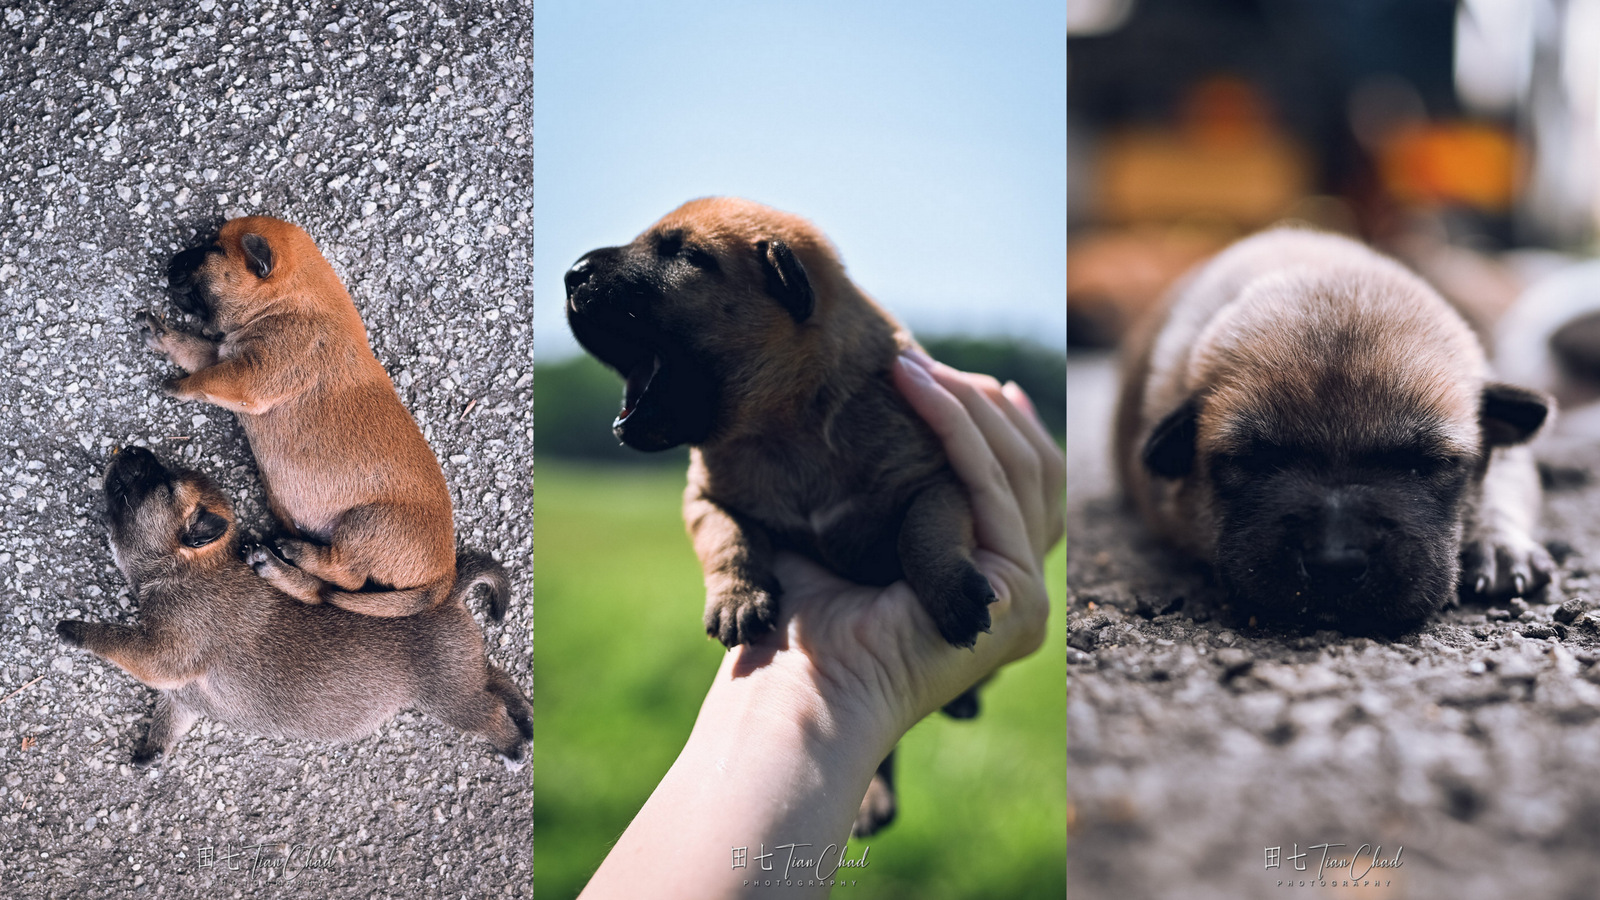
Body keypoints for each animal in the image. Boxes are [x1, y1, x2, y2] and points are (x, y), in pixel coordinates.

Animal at [54, 445, 531, 762]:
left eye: (165, 484)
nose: (134, 448)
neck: (189, 570)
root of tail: (448, 594)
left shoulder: (166, 653)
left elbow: (120, 641)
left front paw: (76, 630)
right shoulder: (183, 694)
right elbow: (170, 714)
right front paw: (152, 750)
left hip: (449, 695)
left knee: (489, 710)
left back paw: (512, 744)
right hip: (464, 672)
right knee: (497, 679)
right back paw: (525, 715)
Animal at [138, 216, 467, 614]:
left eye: (214, 250)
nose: (170, 263)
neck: (290, 298)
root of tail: (444, 576)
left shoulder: (247, 378)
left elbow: (203, 379)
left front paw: (177, 386)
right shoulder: (222, 355)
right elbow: (192, 348)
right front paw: (163, 334)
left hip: (365, 522)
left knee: (344, 578)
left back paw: (294, 553)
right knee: (324, 589)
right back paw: (274, 564)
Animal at [560, 196, 985, 832]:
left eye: (687, 255)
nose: (572, 274)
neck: (784, 427)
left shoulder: (936, 478)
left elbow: (923, 531)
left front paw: (952, 594)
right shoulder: (704, 498)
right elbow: (729, 536)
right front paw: (738, 600)